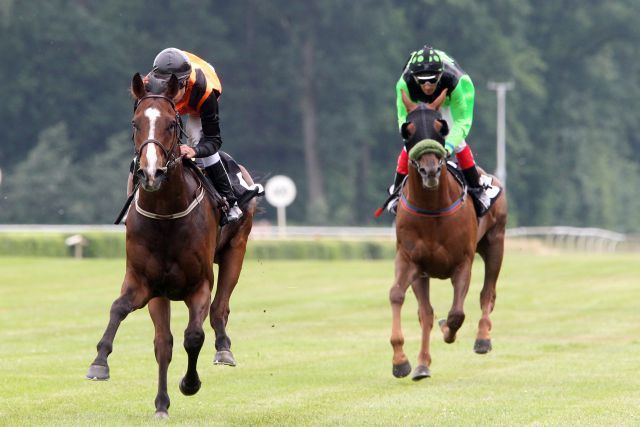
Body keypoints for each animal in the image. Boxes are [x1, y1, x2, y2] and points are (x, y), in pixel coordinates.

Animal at [86, 74, 258, 422]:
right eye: (135, 123)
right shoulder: (146, 284)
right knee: (164, 342)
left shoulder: (198, 285)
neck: (166, 214)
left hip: (236, 249)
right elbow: (123, 313)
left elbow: (193, 336)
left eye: (171, 124)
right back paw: (162, 402)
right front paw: (100, 363)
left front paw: (190, 384)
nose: (151, 173)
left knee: (220, 308)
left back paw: (224, 349)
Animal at [388, 89, 508, 382]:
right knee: (426, 312)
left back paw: (483, 338)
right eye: (407, 130)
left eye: (440, 127)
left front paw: (448, 331)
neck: (433, 209)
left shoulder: (462, 262)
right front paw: (403, 361)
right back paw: (422, 363)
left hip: (495, 243)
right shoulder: (411, 261)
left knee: (488, 293)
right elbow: (400, 298)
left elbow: (456, 314)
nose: (430, 170)